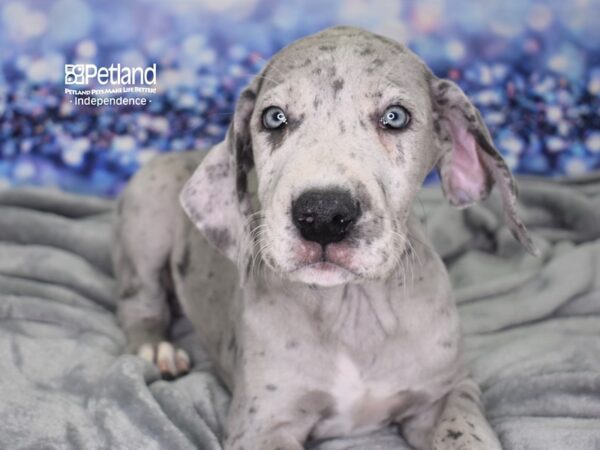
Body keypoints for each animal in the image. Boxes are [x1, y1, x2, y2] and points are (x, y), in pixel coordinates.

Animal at [115, 25, 536, 450]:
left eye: (395, 117)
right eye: (274, 117)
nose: (322, 216)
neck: (353, 308)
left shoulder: (447, 392)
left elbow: (463, 432)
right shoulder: (262, 424)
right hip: (148, 209)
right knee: (139, 300)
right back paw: (157, 348)